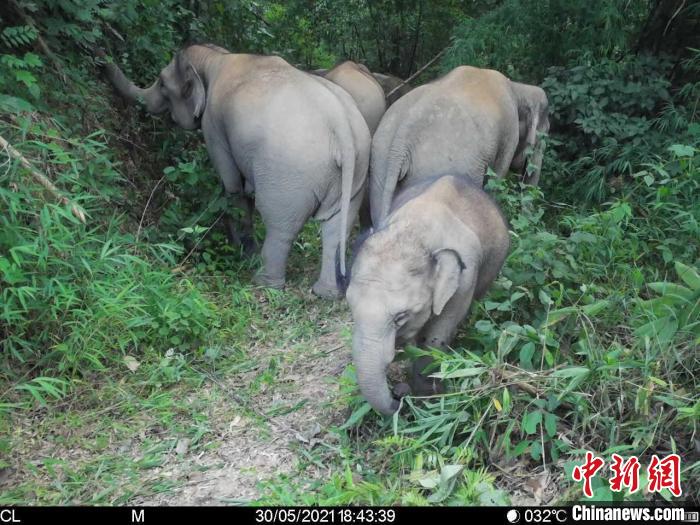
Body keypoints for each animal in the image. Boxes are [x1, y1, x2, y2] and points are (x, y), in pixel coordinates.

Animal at [102, 44, 372, 298]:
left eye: (161, 83)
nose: (102, 61)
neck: (215, 57)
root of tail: (342, 128)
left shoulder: (213, 125)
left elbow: (232, 186)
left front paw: (241, 251)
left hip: (290, 175)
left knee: (280, 223)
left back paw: (264, 283)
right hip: (354, 171)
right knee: (335, 225)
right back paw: (326, 293)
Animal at [344, 175, 508, 414]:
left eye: (400, 316)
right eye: (352, 310)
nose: (398, 397)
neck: (416, 233)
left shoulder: (464, 281)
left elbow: (435, 338)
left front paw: (430, 397)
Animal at [370, 64, 548, 224]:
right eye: (542, 139)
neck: (517, 87)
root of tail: (403, 134)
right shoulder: (509, 135)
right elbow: (497, 179)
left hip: (380, 163)